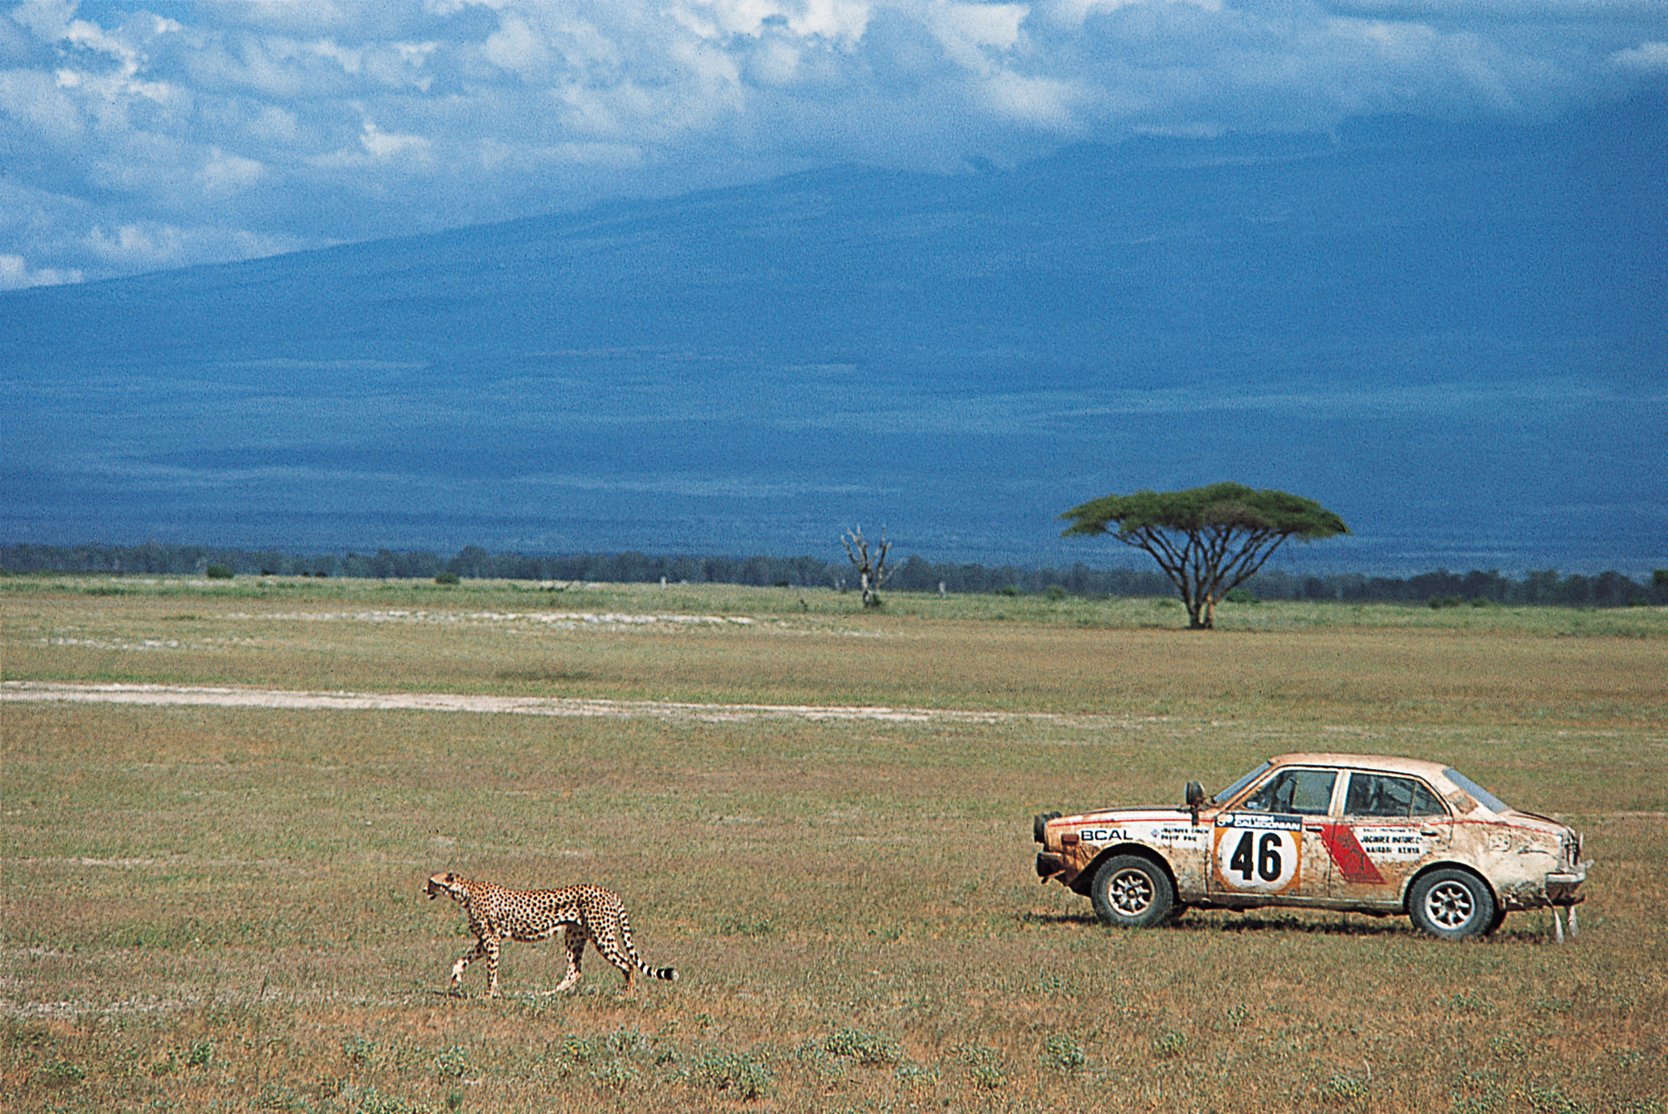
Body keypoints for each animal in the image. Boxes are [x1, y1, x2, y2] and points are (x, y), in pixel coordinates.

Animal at [423, 867, 677, 1000]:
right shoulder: (484, 940)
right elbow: (461, 960)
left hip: (602, 936)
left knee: (627, 963)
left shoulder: (491, 939)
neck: (464, 892)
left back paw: (627, 994)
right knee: (575, 971)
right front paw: (456, 979)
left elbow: (491, 970)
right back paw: (548, 994)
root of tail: (608, 891)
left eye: (431, 881)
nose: (424, 888)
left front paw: (490, 994)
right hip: (575, 937)